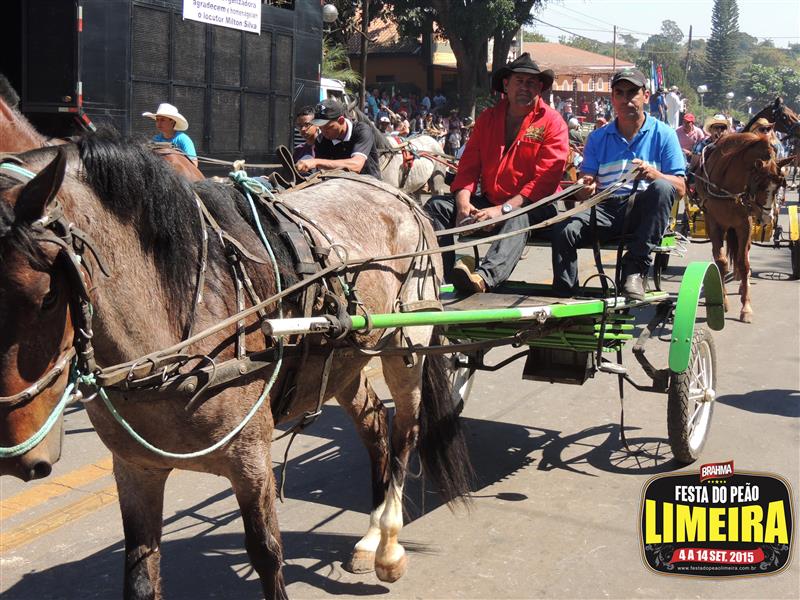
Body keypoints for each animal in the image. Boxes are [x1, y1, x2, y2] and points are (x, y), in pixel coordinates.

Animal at [0, 130, 472, 598]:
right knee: (375, 425)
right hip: (346, 360)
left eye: (48, 296)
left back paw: (388, 545)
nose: (19, 458)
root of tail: (395, 194)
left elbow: (266, 554)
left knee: (405, 431)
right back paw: (370, 538)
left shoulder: (250, 459)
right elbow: (140, 575)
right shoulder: (136, 468)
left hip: (408, 342)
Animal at [693, 133, 791, 322]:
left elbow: (744, 263)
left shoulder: (745, 224)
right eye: (759, 183)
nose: (767, 217)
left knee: (743, 254)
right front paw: (723, 300)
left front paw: (746, 307)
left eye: (778, 187)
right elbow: (721, 262)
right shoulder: (714, 222)